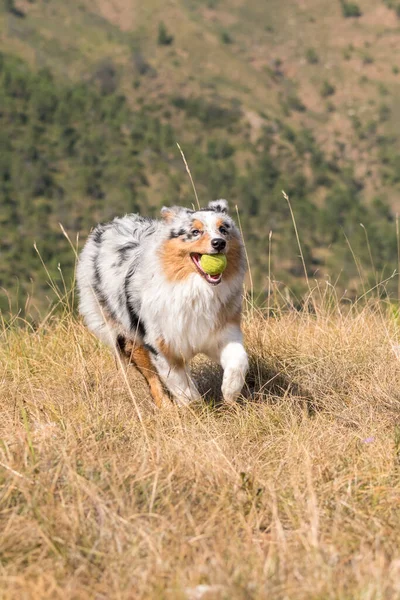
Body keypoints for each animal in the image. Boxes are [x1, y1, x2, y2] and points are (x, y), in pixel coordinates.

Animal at [76, 199, 248, 406]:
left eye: (223, 229)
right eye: (195, 232)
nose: (219, 243)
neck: (195, 289)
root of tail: (107, 226)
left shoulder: (220, 332)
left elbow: (239, 360)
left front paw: (230, 392)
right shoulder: (161, 345)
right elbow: (182, 386)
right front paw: (196, 408)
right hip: (127, 334)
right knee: (152, 379)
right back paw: (167, 407)